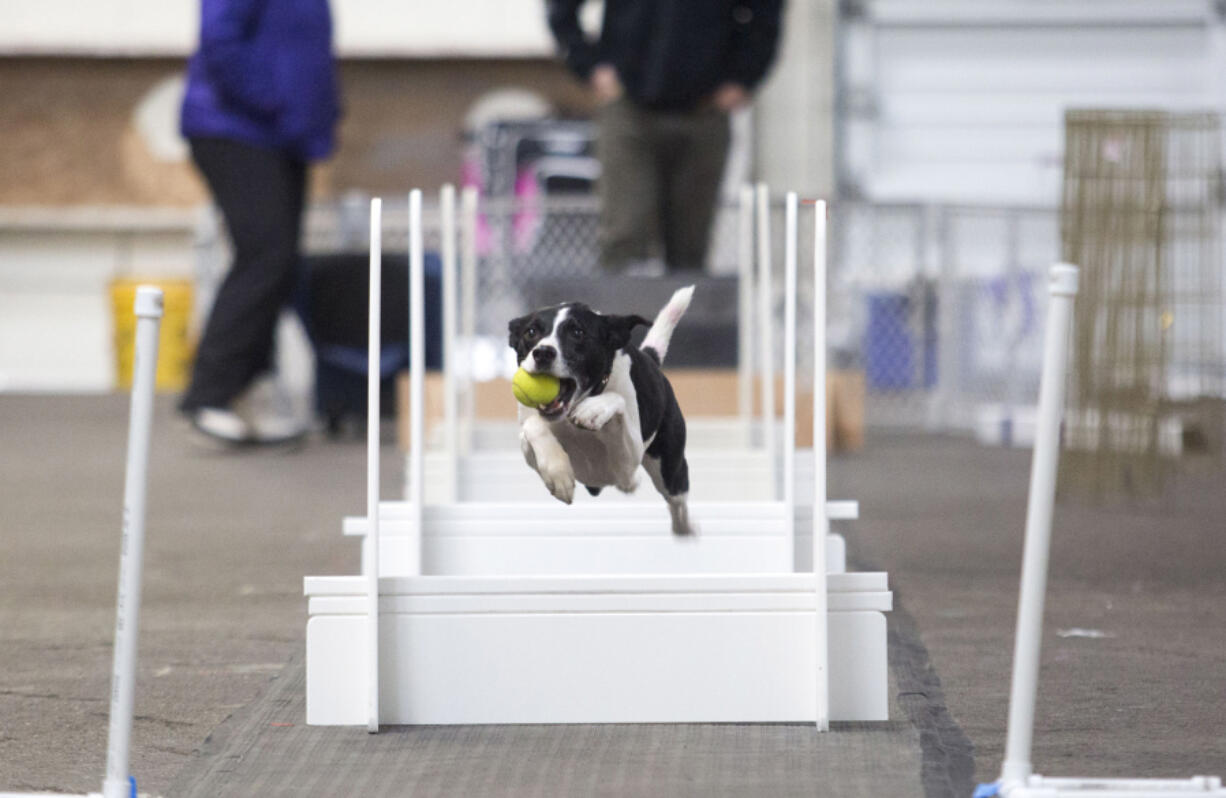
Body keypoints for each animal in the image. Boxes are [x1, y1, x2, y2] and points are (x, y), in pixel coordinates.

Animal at [507, 286, 701, 536]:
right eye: (531, 332)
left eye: (577, 332)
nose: (542, 352)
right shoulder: (529, 436)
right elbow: (533, 427)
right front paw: (558, 473)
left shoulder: (626, 464)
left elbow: (617, 400)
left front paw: (593, 410)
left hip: (670, 469)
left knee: (677, 506)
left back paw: (685, 529)